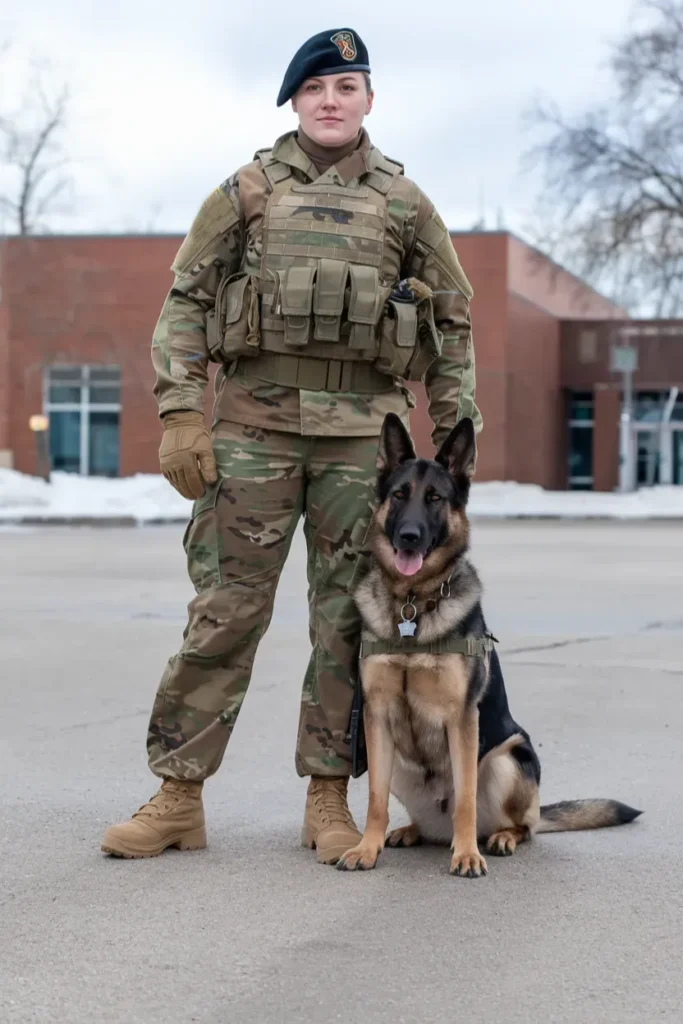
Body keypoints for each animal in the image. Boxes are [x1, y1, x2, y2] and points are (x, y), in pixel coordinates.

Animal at [339, 411, 643, 876]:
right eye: (400, 495)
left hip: (509, 759)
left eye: (435, 498)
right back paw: (410, 831)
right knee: (423, 820)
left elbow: (464, 797)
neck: (413, 605)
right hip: (398, 765)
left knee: (520, 825)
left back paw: (499, 838)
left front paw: (466, 855)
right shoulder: (376, 717)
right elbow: (374, 798)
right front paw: (366, 848)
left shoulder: (463, 720)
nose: (408, 536)